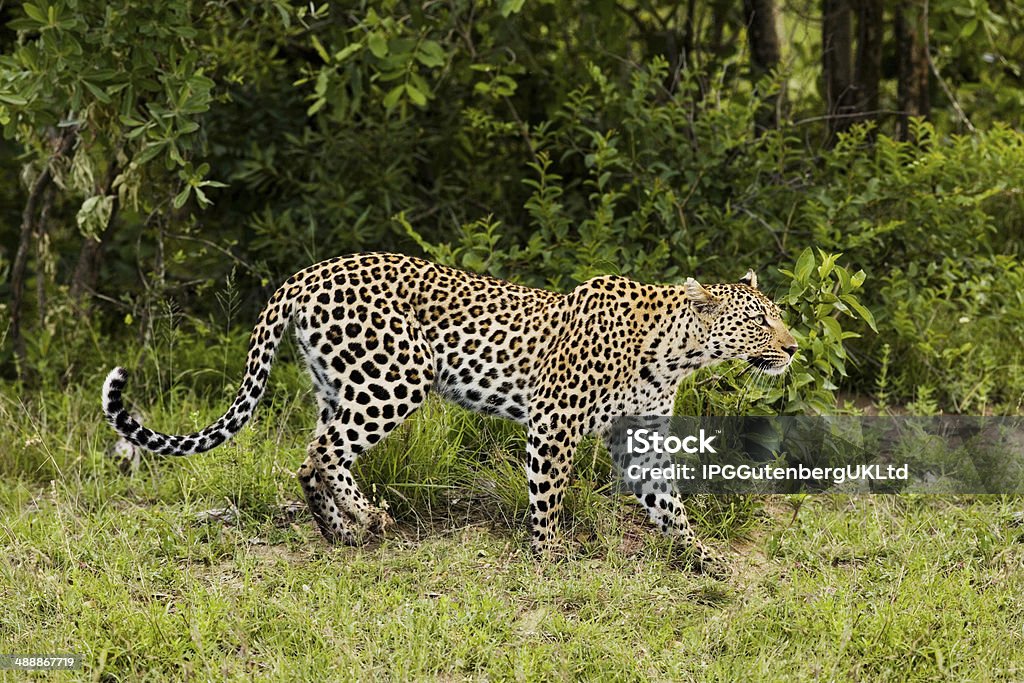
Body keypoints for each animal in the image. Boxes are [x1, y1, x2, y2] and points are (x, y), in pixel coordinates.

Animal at [102, 252, 797, 574]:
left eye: (777, 316)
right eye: (758, 320)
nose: (794, 347)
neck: (677, 353)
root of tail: (305, 274)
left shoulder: (641, 438)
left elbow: (669, 505)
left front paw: (704, 560)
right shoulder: (553, 423)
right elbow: (548, 497)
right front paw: (550, 559)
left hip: (340, 384)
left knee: (310, 455)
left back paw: (342, 532)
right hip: (395, 378)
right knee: (327, 451)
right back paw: (367, 516)